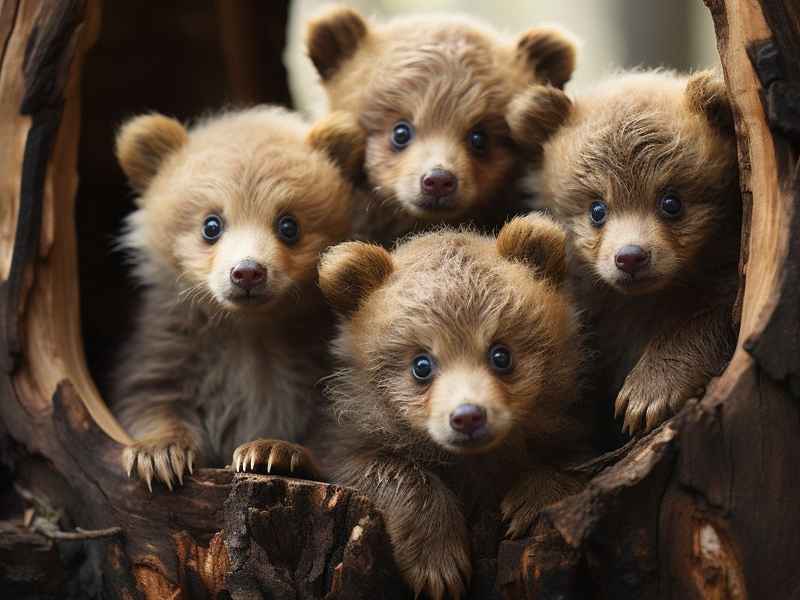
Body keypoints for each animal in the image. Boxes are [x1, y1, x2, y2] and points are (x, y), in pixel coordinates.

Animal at [112, 106, 364, 490]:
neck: (249, 327)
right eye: (211, 225)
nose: (247, 272)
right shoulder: (174, 341)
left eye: (288, 225)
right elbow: (151, 394)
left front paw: (274, 451)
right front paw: (158, 454)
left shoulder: (317, 354)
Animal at [316, 215, 591, 599]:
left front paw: (529, 502)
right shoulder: (349, 444)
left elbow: (572, 462)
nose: (467, 416)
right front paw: (438, 564)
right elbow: (389, 472)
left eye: (501, 354)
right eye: (421, 365)